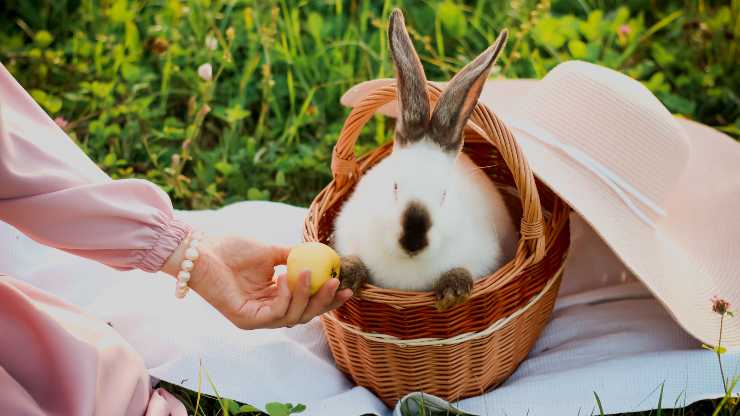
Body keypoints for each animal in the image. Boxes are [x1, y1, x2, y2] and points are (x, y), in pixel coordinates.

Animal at [332, 8, 516, 312]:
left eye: (444, 195)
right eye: (394, 186)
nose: (413, 241)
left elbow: (464, 270)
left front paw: (452, 291)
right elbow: (353, 259)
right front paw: (347, 276)